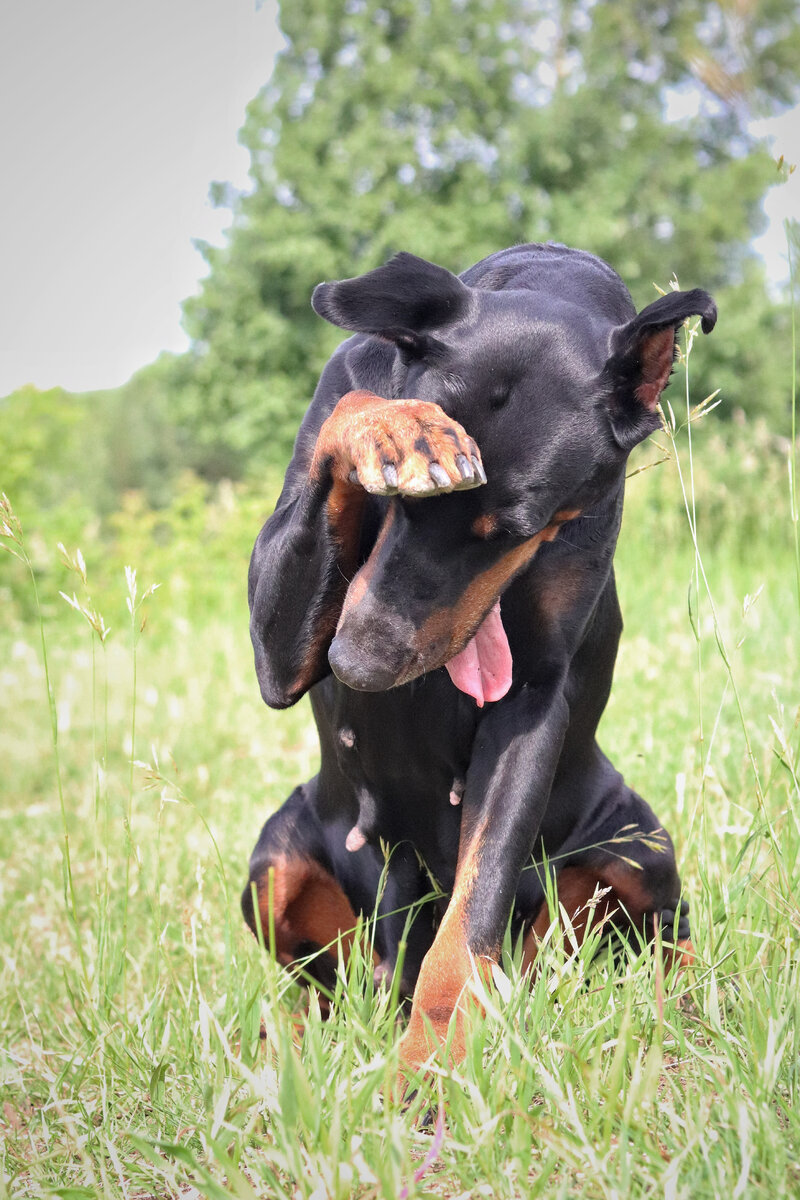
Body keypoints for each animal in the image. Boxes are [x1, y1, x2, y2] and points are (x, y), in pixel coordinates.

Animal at [241, 243, 714, 1070]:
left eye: (514, 529)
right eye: (398, 503)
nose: (355, 663)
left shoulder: (531, 697)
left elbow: (474, 906)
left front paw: (430, 1065)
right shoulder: (279, 651)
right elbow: (353, 404)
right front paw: (401, 428)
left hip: (633, 839)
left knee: (664, 933)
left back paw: (693, 1003)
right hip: (275, 864)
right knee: (327, 989)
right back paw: (288, 1038)